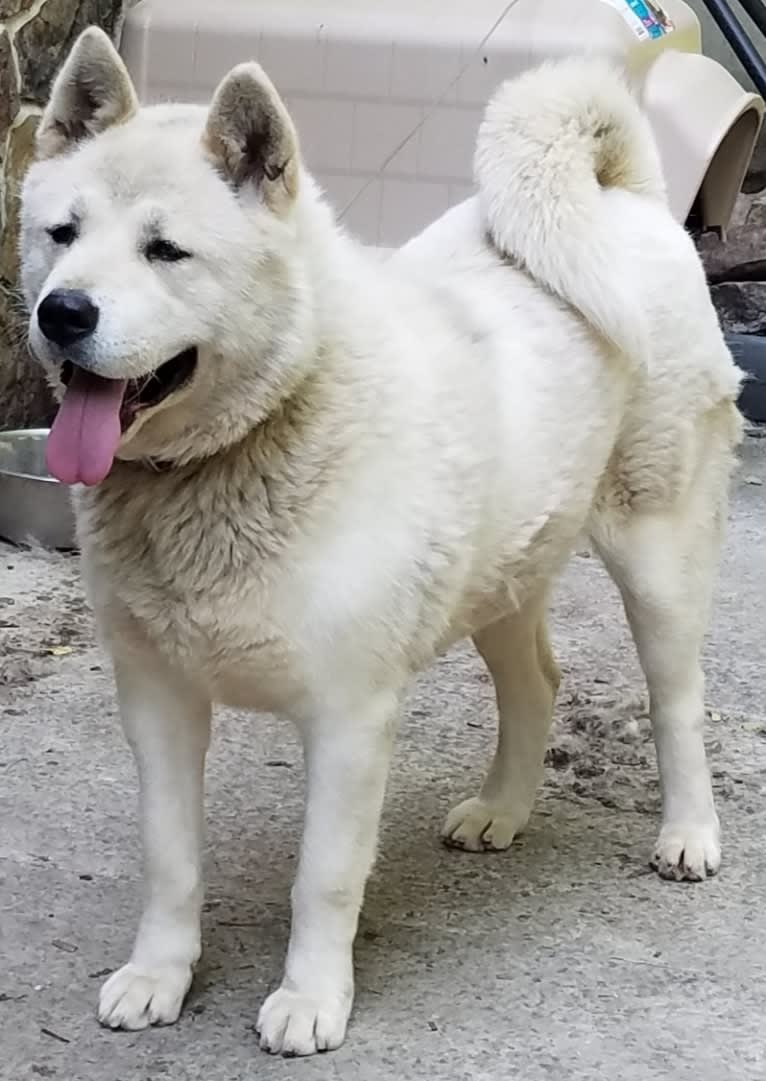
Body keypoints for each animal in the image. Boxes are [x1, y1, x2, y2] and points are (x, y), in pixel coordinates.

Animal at [20, 29, 738, 1059]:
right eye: (62, 234)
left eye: (166, 250)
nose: (63, 313)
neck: (252, 440)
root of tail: (624, 199)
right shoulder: (156, 698)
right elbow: (170, 860)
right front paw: (160, 977)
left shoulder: (349, 718)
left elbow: (322, 877)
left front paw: (311, 998)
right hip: (501, 573)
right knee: (535, 684)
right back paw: (502, 810)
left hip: (659, 560)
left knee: (678, 702)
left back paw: (688, 834)